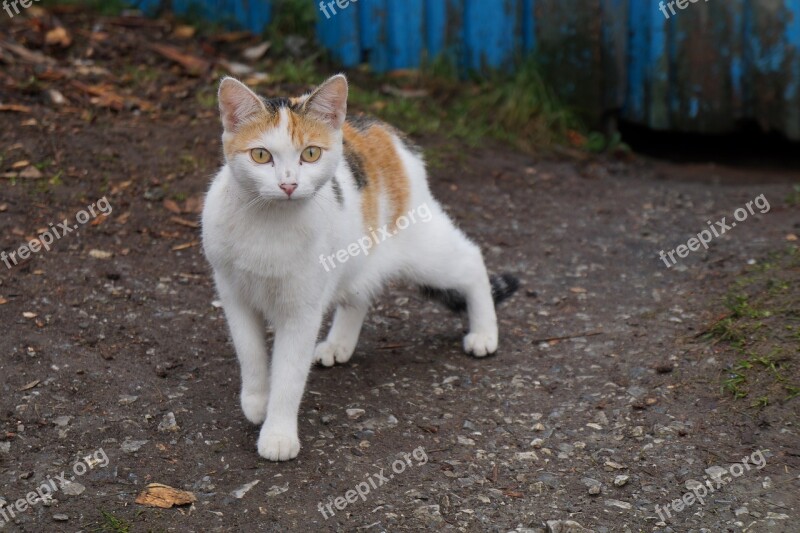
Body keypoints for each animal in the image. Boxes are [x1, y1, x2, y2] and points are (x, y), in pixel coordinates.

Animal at [202, 75, 520, 462]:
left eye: (311, 153)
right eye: (261, 155)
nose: (288, 184)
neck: (268, 222)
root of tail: (382, 128)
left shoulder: (302, 311)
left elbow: (289, 372)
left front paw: (278, 434)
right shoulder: (233, 294)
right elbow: (249, 354)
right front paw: (256, 402)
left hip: (423, 248)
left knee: (471, 259)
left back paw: (485, 333)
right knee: (360, 292)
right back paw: (339, 344)